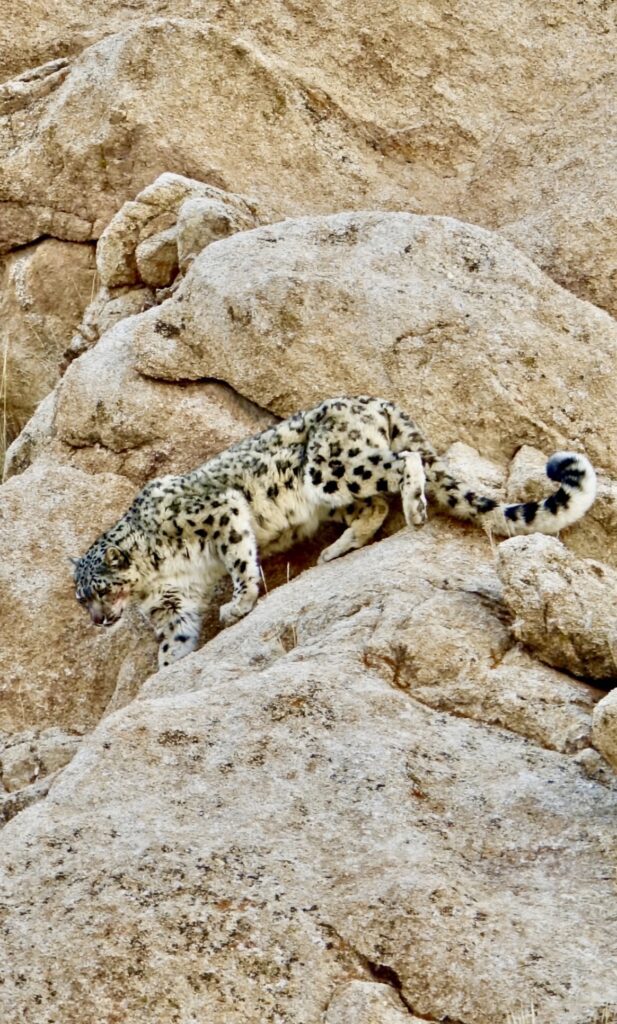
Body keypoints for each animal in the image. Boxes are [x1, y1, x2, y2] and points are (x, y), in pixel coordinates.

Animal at [73, 395, 597, 667]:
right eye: (82, 599)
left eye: (101, 589)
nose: (98, 621)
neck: (155, 577)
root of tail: (371, 400)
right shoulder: (171, 604)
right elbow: (174, 638)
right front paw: (167, 670)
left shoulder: (221, 512)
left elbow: (241, 561)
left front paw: (238, 605)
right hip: (334, 494)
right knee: (373, 506)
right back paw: (338, 549)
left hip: (332, 468)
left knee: (402, 463)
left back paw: (415, 505)